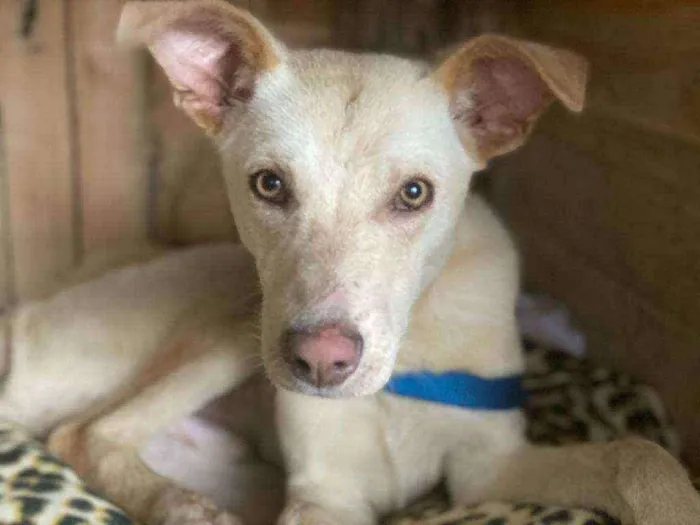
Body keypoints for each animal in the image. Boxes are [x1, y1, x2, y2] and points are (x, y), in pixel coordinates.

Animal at [1, 1, 700, 524]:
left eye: (414, 193)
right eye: (269, 185)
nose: (320, 361)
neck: (405, 366)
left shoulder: (491, 465)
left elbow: (639, 457)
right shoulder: (325, 495)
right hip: (234, 327)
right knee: (84, 433)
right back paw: (178, 505)